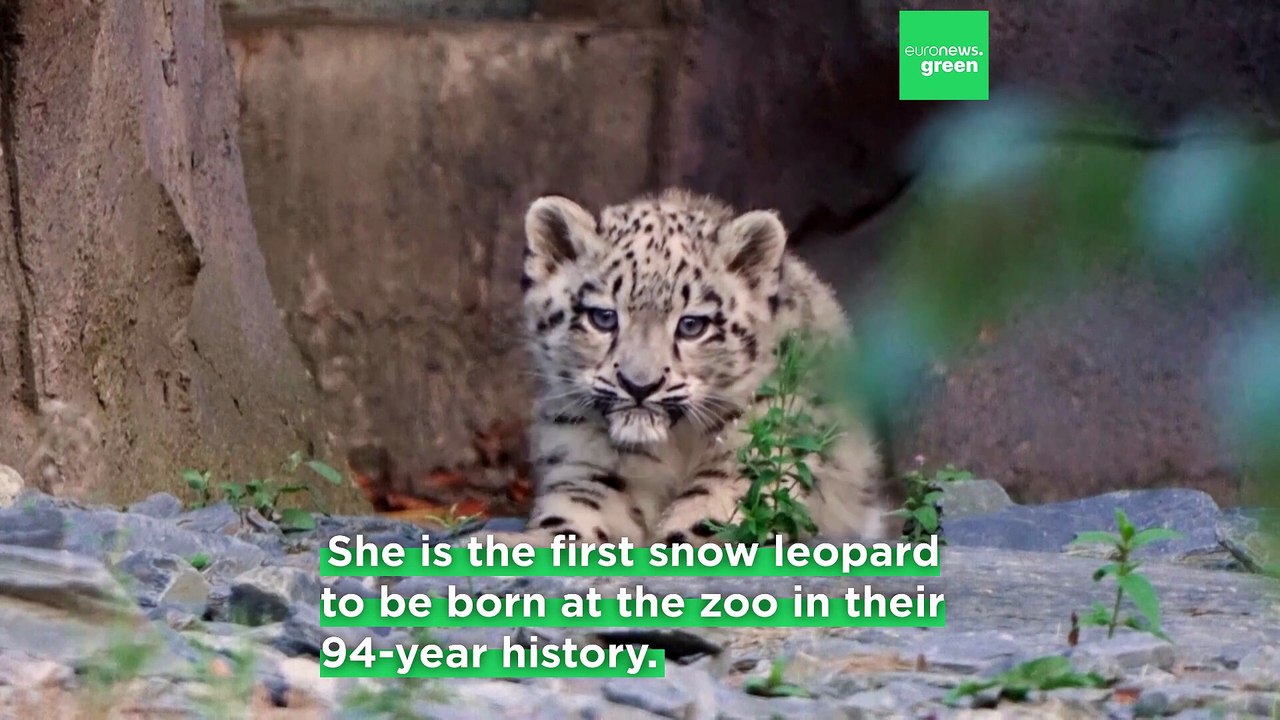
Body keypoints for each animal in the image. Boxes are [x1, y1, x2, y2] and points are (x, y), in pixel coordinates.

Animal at [504, 188, 885, 548]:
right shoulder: (587, 463)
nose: (639, 385)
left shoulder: (751, 459)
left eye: (691, 325)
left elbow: (711, 519)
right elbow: (573, 516)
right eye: (603, 317)